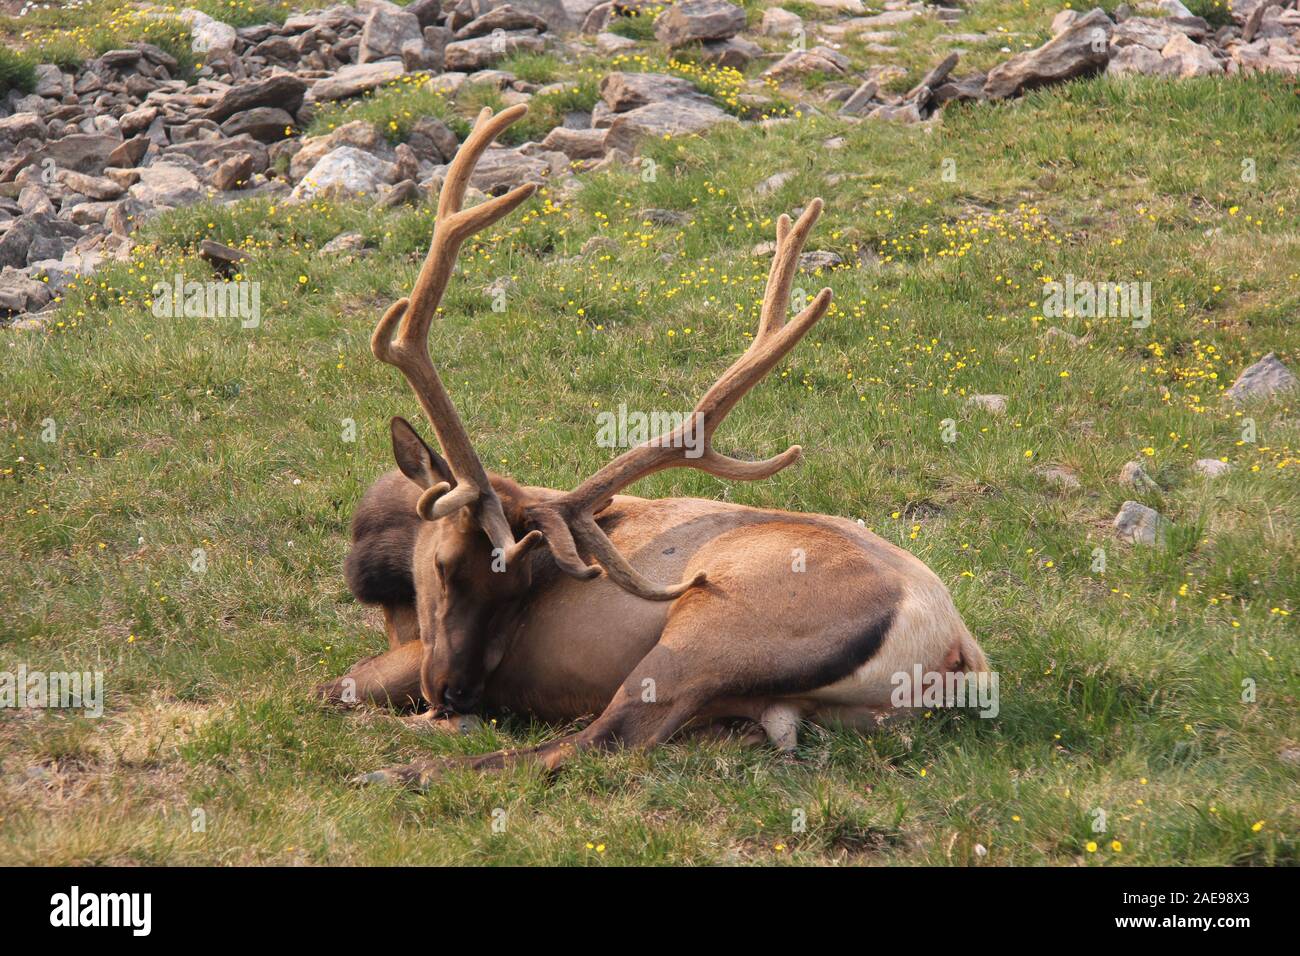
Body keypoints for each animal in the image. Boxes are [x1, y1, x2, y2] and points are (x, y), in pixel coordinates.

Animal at [322, 108, 982, 790]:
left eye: (517, 588)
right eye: (446, 567)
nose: (456, 694)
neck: (381, 568)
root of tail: (957, 651)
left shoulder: (412, 656)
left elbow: (336, 685)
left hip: (710, 632)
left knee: (600, 740)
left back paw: (404, 768)